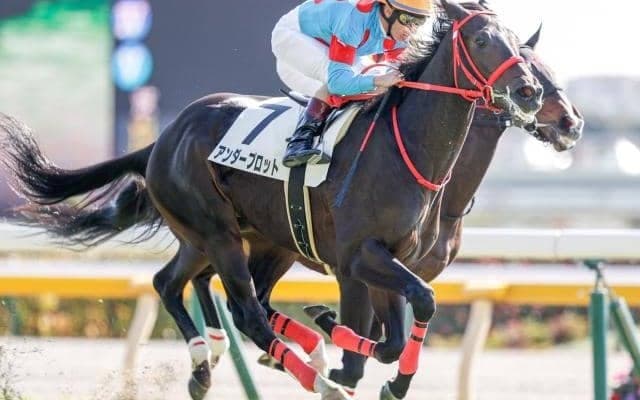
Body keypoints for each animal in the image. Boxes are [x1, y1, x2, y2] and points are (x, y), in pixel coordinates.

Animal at [0, 1, 543, 399]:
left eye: (519, 43)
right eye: (481, 40)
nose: (530, 91)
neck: (406, 149)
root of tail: (162, 139)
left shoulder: (393, 260)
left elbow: (397, 333)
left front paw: (386, 373)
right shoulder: (357, 258)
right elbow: (393, 324)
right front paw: (336, 343)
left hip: (245, 239)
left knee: (175, 284)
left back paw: (212, 365)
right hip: (218, 234)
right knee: (244, 309)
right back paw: (312, 373)